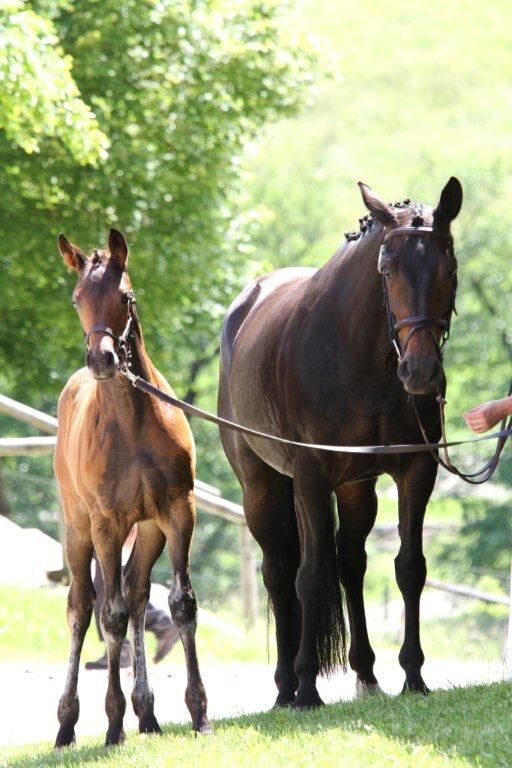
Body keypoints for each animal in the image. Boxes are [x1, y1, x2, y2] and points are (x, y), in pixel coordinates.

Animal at [53, 228, 210, 744]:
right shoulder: (107, 523)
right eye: (77, 298)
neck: (131, 424)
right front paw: (113, 724)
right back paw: (68, 724)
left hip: (149, 529)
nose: (101, 359)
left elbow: (181, 603)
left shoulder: (178, 512)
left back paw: (148, 713)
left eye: (125, 296)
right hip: (78, 527)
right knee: (83, 606)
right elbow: (110, 614)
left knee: (138, 593)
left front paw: (199, 714)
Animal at [218, 178, 462, 708]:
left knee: (350, 563)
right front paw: (308, 687)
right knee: (279, 571)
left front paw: (413, 676)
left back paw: (367, 673)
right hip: (261, 488)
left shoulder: (416, 471)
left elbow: (409, 567)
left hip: (355, 488)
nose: (421, 373)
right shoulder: (310, 477)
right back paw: (286, 686)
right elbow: (309, 577)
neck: (360, 358)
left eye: (449, 268)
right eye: (387, 269)